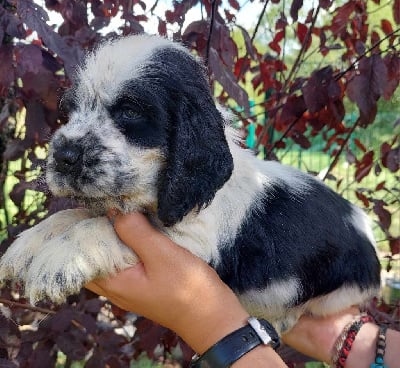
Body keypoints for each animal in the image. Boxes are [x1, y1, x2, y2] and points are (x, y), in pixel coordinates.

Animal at [0, 34, 382, 334]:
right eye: (71, 110)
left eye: (130, 113)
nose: (63, 156)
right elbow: (74, 216)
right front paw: (27, 245)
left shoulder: (192, 244)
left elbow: (98, 227)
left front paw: (59, 259)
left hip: (338, 291)